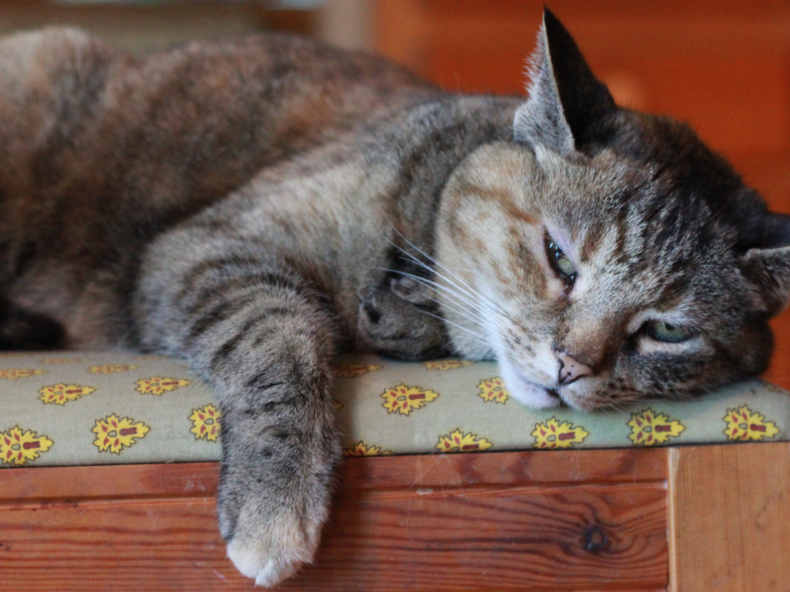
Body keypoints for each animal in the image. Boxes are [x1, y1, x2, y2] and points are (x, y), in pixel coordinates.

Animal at [1, 9, 790, 588]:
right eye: (560, 258)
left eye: (667, 331)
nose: (571, 366)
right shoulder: (207, 248)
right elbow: (285, 333)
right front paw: (277, 502)